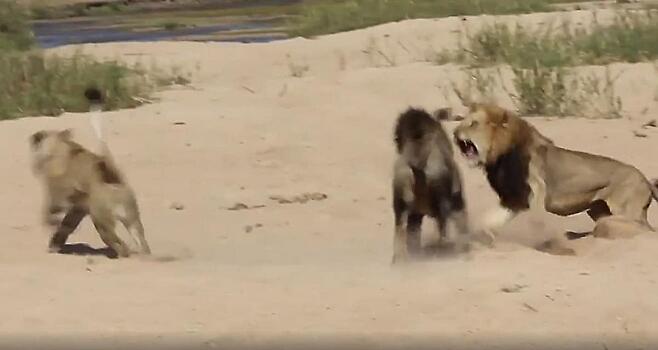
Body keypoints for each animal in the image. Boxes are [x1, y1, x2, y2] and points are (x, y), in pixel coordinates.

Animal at [454, 103, 656, 241]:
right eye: (462, 122)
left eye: (473, 124)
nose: (455, 133)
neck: (500, 157)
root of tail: (645, 179)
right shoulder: (513, 199)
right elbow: (490, 219)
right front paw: (484, 235)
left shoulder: (534, 194)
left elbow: (536, 223)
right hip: (598, 209)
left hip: (626, 210)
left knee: (646, 230)